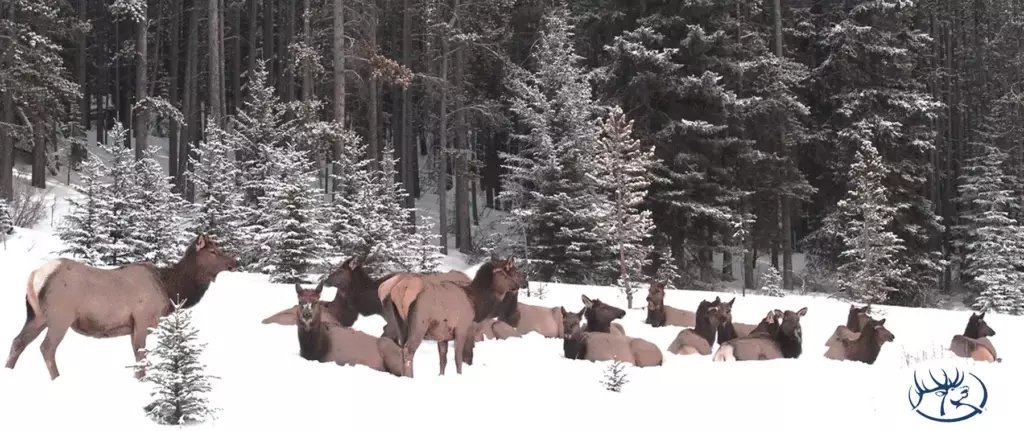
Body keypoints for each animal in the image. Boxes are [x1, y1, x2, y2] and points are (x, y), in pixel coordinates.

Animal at [4, 233, 238, 378]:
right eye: (213, 252)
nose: (235, 262)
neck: (170, 289)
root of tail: (34, 276)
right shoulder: (142, 320)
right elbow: (141, 358)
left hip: (36, 315)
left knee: (18, 341)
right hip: (60, 316)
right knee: (46, 348)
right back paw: (58, 379)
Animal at [376, 256, 524, 374]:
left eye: (516, 272)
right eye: (509, 272)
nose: (521, 284)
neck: (476, 304)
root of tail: (400, 289)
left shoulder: (443, 336)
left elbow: (443, 361)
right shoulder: (462, 329)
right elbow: (460, 358)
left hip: (400, 324)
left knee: (401, 348)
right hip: (419, 323)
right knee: (408, 350)